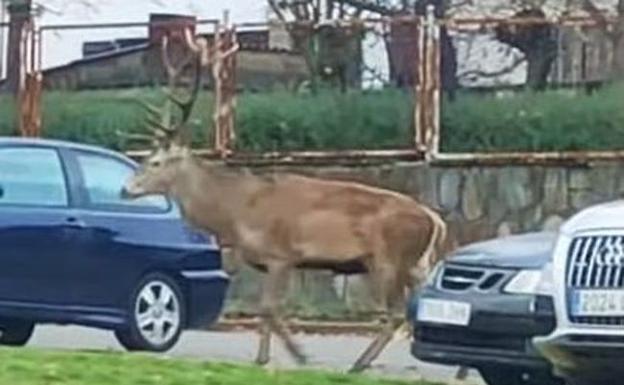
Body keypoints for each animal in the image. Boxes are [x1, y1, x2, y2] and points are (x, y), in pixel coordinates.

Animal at [118, 26, 448, 372]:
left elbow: (268, 308)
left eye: (156, 162)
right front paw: (268, 357)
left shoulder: (281, 255)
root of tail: (435, 220)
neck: (235, 213)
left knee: (396, 313)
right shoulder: (267, 262)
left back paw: (359, 364)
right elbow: (267, 310)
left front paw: (294, 357)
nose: (126, 189)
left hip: (389, 258)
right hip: (416, 264)